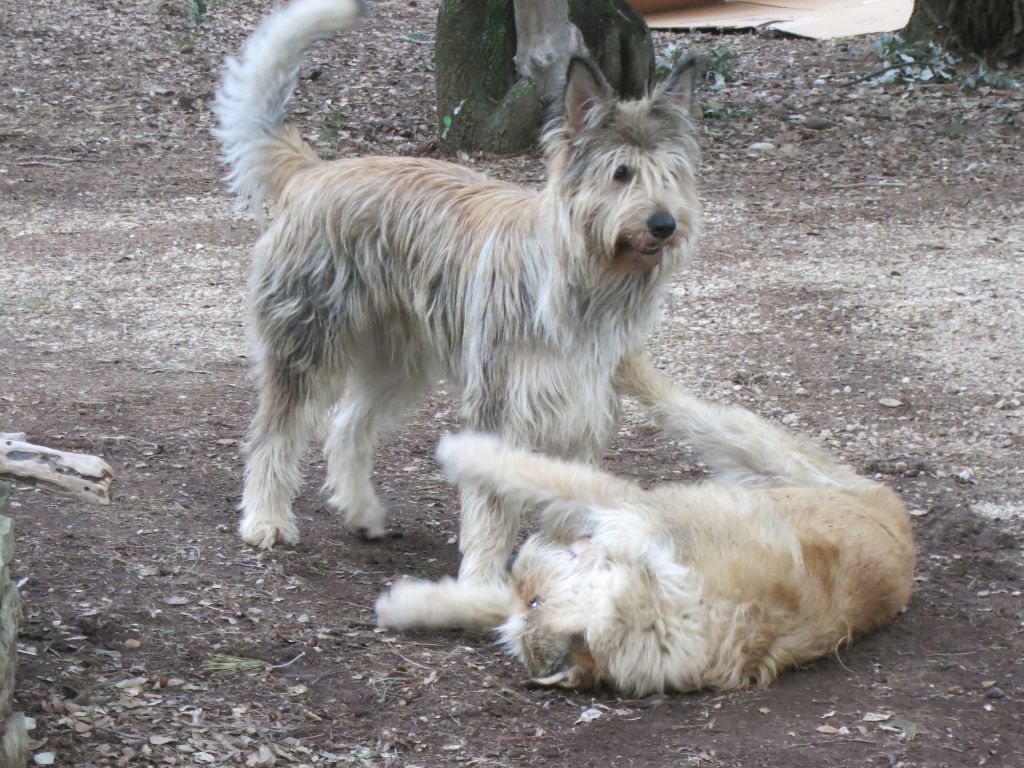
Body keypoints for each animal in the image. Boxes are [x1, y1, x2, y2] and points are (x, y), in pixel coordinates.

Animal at [217, 0, 704, 581]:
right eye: (621, 173)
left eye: (670, 173)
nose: (664, 225)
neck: (584, 286)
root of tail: (313, 174)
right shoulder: (501, 410)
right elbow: (491, 509)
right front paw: (482, 583)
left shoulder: (581, 414)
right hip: (305, 346)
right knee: (274, 433)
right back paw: (266, 519)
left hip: (399, 362)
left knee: (346, 426)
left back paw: (362, 512)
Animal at [376, 358, 913, 700]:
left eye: (535, 601)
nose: (515, 559)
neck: (658, 610)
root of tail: (902, 527)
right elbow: (480, 600)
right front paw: (407, 606)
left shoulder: (623, 503)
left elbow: (538, 472)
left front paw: (461, 450)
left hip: (758, 445)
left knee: (682, 407)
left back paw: (628, 363)